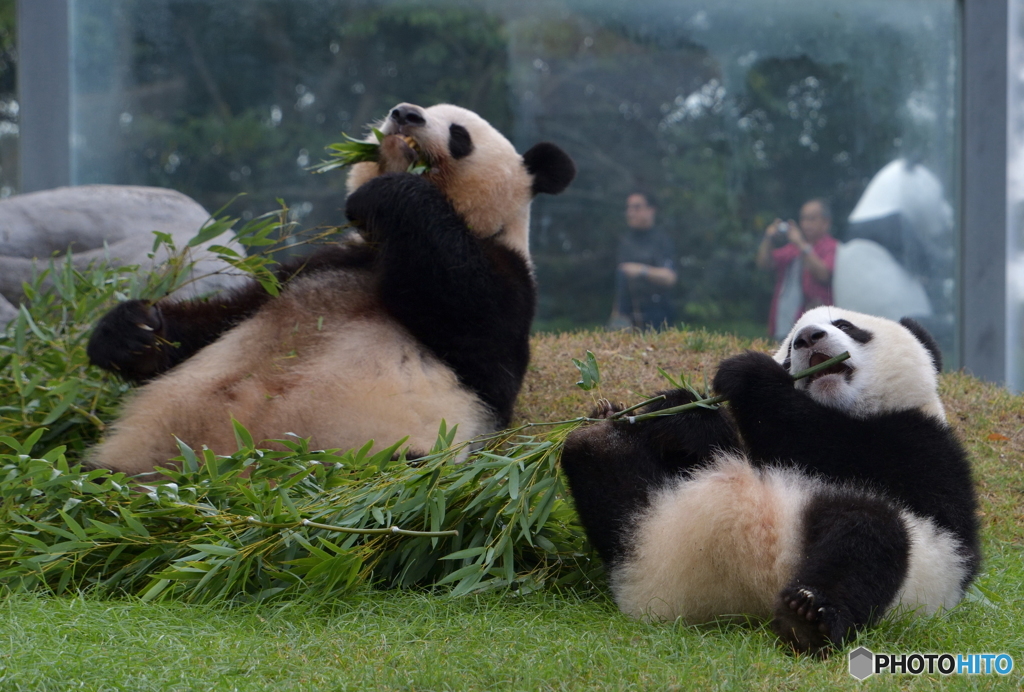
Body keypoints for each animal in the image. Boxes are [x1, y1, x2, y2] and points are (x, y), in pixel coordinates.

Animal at [86, 102, 577, 472]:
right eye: (419, 108)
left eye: (460, 133)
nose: (405, 114)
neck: (382, 245)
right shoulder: (311, 267)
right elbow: (216, 321)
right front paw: (131, 332)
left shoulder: (509, 280)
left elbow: (474, 320)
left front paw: (388, 192)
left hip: (377, 453)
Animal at [565, 309, 978, 655]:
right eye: (788, 351)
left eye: (845, 325)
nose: (808, 338)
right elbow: (713, 445)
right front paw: (681, 411)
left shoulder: (923, 445)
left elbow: (821, 439)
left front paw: (747, 372)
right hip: (654, 516)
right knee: (623, 499)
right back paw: (597, 438)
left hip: (913, 567)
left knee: (867, 536)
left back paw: (809, 617)